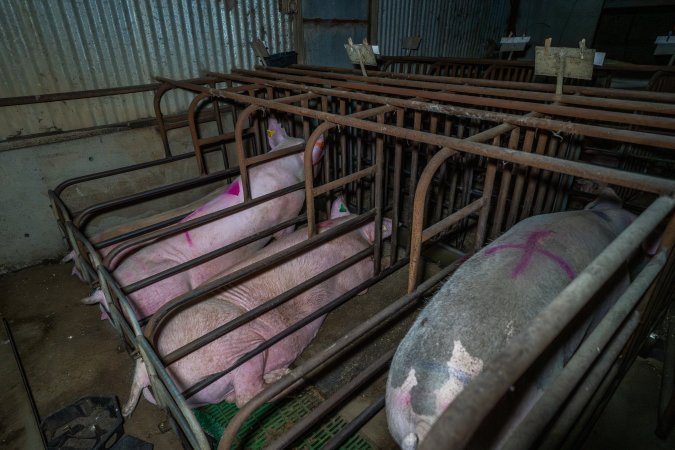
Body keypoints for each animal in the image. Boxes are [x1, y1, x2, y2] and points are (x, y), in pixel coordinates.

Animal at [124, 199, 394, 416]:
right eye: (380, 226)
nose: (392, 220)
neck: (352, 230)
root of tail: (147, 369)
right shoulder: (354, 268)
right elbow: (364, 282)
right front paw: (388, 261)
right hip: (240, 349)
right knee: (245, 399)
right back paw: (286, 381)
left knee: (233, 398)